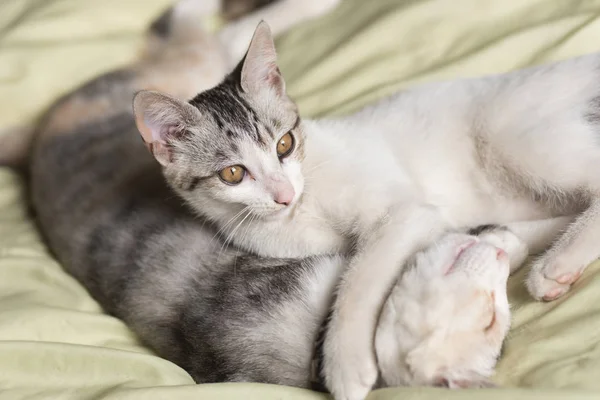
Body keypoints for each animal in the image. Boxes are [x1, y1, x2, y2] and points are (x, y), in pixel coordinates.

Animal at [132, 20, 596, 400]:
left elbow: (361, 275)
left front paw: (345, 362)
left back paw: (556, 265)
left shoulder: (405, 210)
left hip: (512, 133)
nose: (283, 193)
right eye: (233, 173)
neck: (301, 211)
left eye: (284, 144)